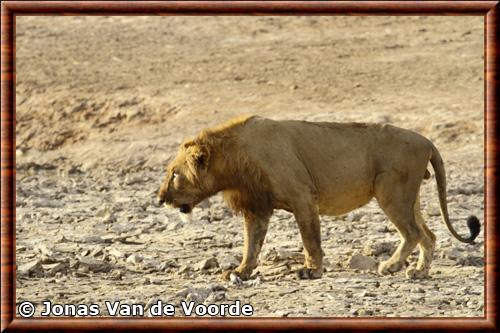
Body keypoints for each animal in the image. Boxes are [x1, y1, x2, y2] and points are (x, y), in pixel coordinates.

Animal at [156, 115, 480, 278]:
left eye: (174, 174)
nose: (160, 199)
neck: (233, 160)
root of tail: (426, 140)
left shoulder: (302, 197)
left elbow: (310, 239)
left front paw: (312, 270)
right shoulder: (256, 207)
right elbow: (252, 244)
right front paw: (241, 272)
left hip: (391, 193)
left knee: (413, 233)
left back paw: (391, 266)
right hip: (409, 198)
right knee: (429, 235)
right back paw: (419, 271)